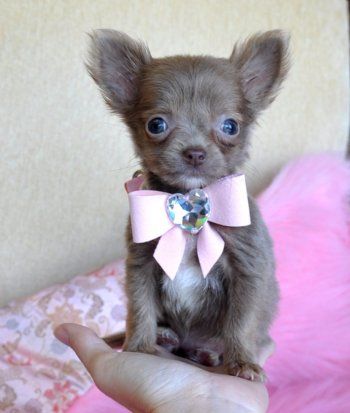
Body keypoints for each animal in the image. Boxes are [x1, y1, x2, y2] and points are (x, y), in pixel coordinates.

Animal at [87, 30, 290, 382]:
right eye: (156, 125)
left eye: (230, 126)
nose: (195, 152)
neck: (189, 205)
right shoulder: (141, 263)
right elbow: (140, 308)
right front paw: (138, 348)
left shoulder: (247, 270)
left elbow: (241, 323)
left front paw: (241, 363)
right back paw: (166, 336)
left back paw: (207, 353)